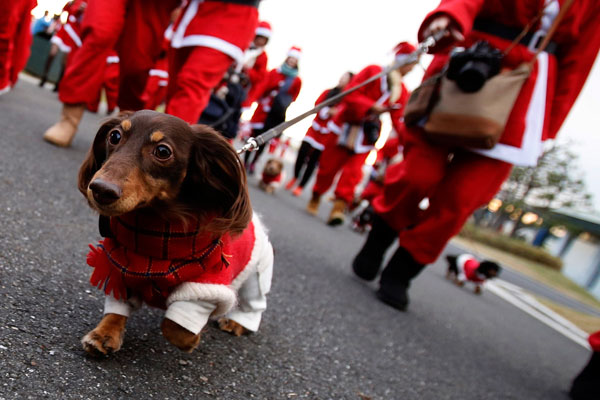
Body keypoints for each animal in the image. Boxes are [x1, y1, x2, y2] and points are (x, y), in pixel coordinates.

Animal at [77, 110, 274, 356]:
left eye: (163, 151)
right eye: (114, 136)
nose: (101, 190)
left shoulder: (207, 285)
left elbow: (173, 327)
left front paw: (193, 338)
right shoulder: (119, 272)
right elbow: (116, 309)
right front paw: (104, 334)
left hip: (256, 276)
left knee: (254, 304)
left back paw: (237, 322)